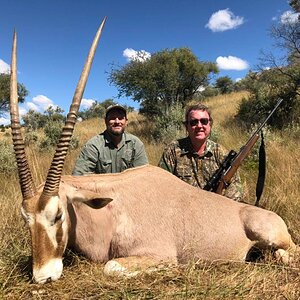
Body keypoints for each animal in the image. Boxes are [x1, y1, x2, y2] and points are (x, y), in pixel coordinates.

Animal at [8, 18, 298, 284]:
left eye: (58, 215)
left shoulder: (156, 254)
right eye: (26, 220)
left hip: (271, 234)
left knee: (289, 253)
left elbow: (111, 267)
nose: (43, 276)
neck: (110, 211)